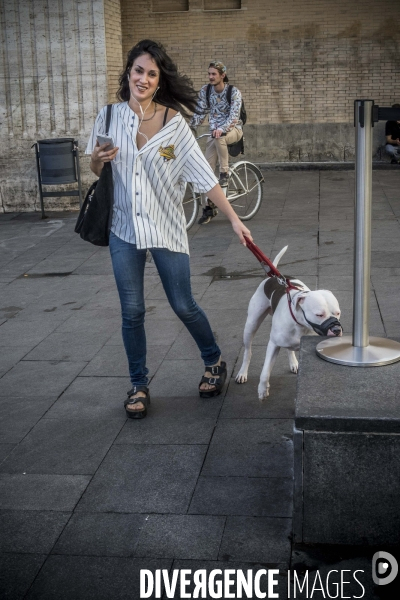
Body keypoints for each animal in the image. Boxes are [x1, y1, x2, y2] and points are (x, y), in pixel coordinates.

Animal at [236, 246, 342, 400]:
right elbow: (265, 372)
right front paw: (262, 389)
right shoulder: (273, 345)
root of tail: (272, 277)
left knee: (289, 349)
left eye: (338, 313)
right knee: (248, 351)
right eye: (319, 315)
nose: (336, 330)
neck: (301, 325)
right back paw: (242, 372)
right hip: (251, 325)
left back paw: (293, 363)